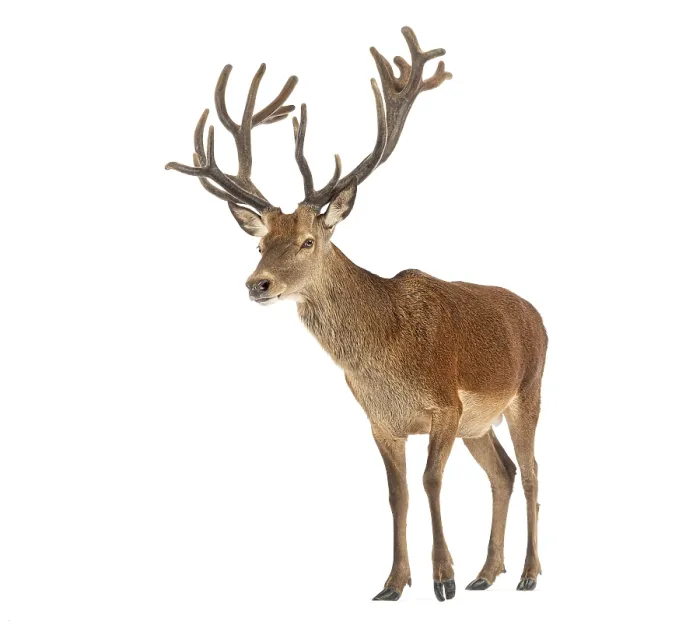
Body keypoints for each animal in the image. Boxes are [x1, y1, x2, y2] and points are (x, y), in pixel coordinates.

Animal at [165, 26, 547, 601]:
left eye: (307, 241)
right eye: (260, 244)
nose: (257, 284)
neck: (384, 355)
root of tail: (540, 316)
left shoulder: (445, 406)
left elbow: (431, 482)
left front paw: (442, 578)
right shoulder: (380, 421)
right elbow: (397, 495)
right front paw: (394, 582)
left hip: (527, 392)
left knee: (531, 472)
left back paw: (526, 573)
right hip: (479, 424)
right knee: (501, 472)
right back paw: (487, 573)